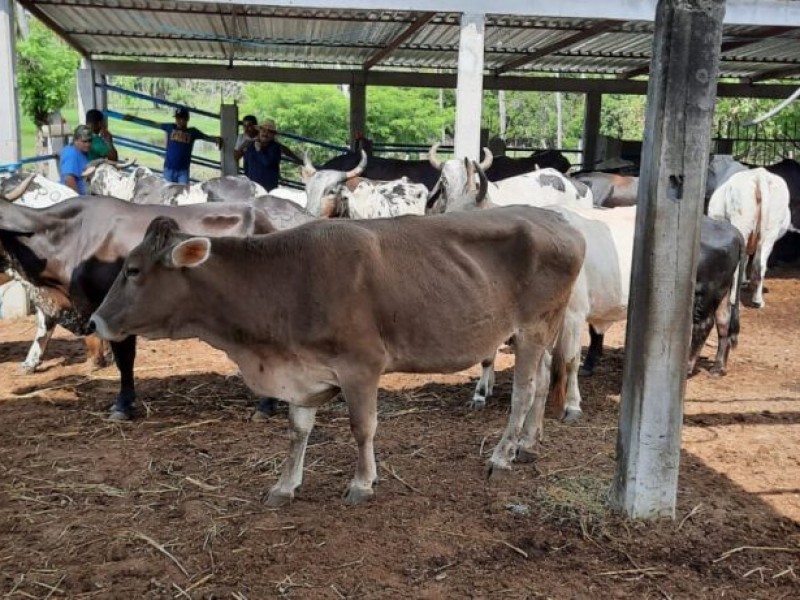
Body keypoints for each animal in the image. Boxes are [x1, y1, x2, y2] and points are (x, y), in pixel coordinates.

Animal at [90, 207, 584, 506]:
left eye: (132, 270)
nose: (94, 321)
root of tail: (557, 218)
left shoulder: (360, 364)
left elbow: (362, 427)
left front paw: (362, 483)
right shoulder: (301, 371)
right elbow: (298, 429)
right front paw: (285, 484)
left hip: (533, 327)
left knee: (524, 392)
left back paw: (502, 456)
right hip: (541, 330)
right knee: (544, 381)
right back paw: (528, 445)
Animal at [708, 166, 792, 308]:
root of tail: (760, 174)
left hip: (741, 223)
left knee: (739, 265)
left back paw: (733, 299)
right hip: (771, 231)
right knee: (760, 265)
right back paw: (757, 300)